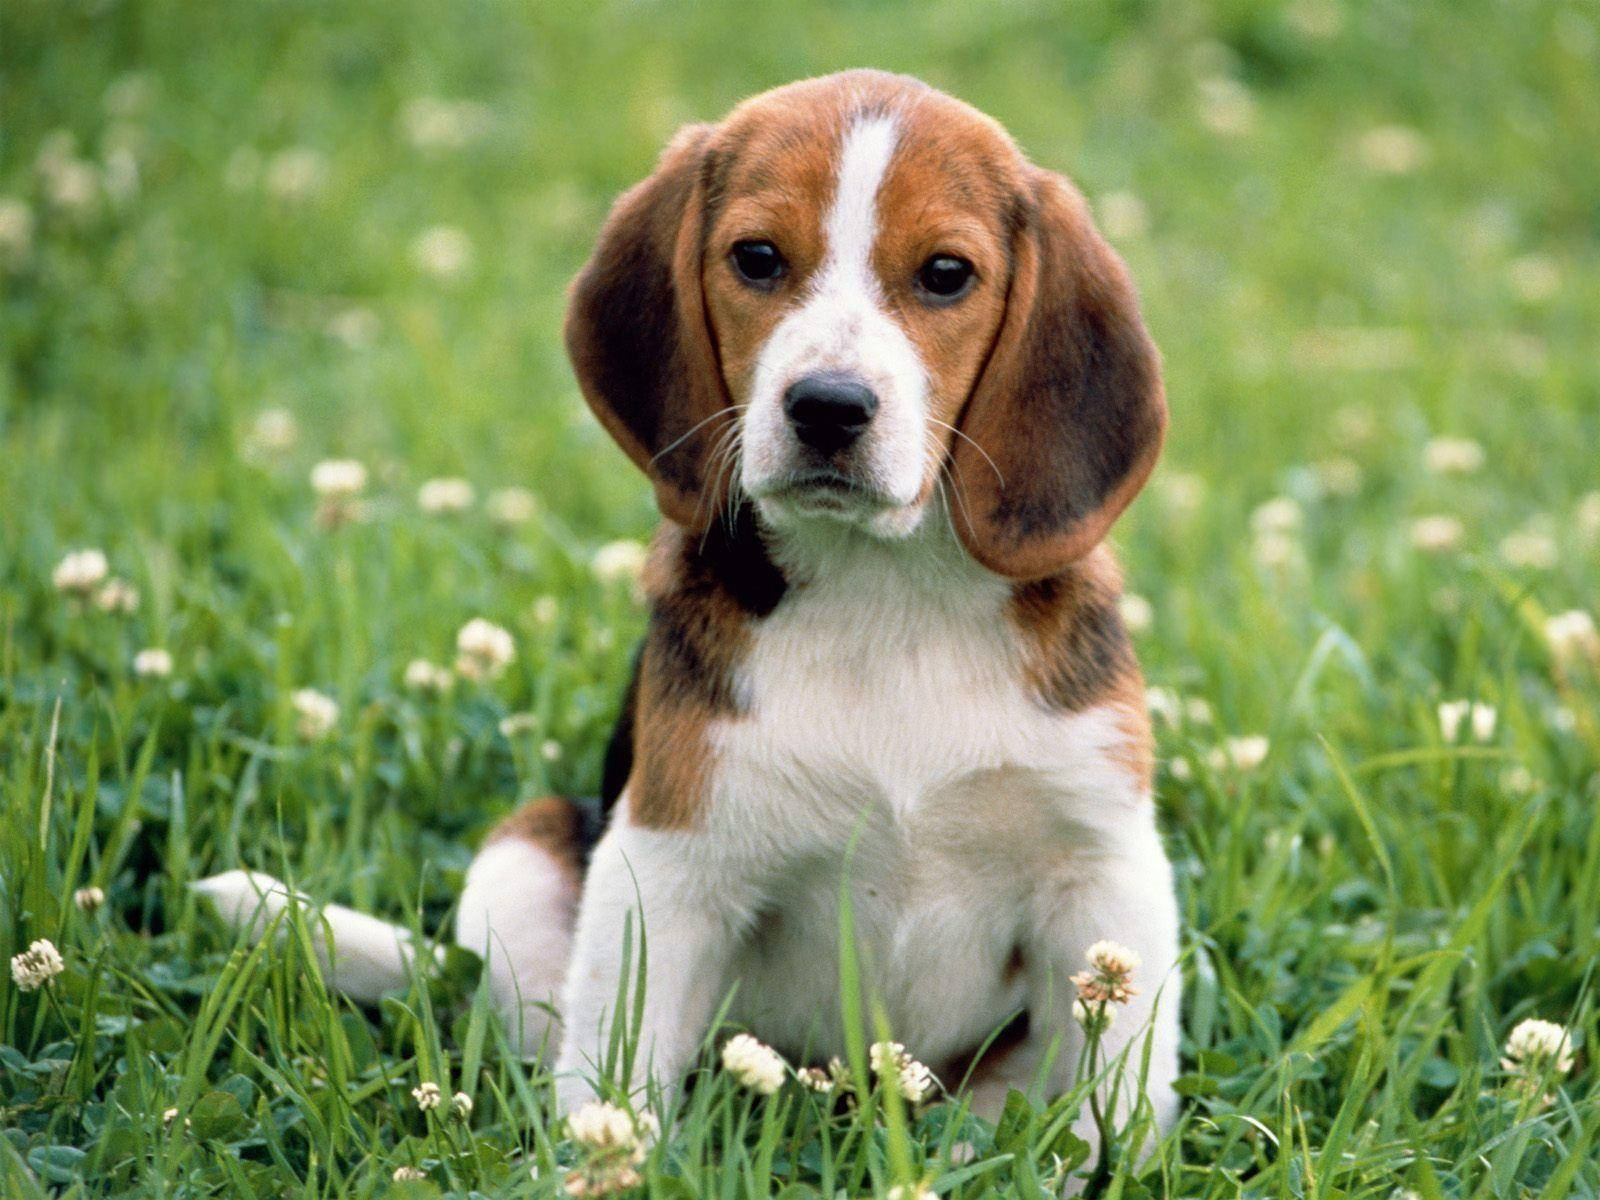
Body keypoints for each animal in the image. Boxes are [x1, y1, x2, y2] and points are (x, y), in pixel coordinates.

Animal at [196, 70, 1177, 1139]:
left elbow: (1111, 1105)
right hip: (524, 853)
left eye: (947, 274)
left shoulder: (1105, 874)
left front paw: (1092, 1159)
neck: (886, 595)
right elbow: (615, 1080)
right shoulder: (667, 865)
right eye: (757, 258)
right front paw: (608, 1158)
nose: (827, 406)